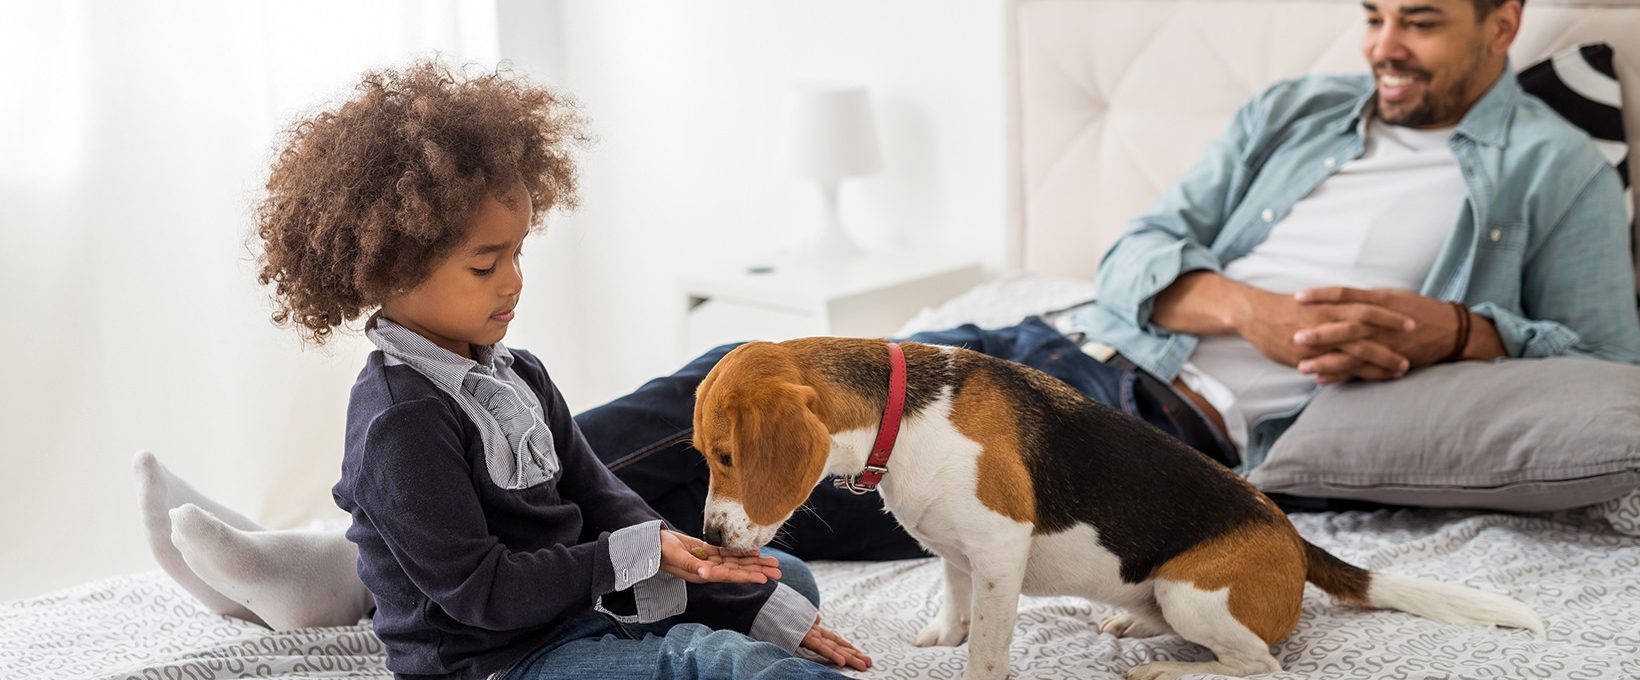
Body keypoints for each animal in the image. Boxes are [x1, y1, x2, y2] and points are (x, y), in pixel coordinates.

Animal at [688, 339, 1535, 680]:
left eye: (726, 457)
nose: (710, 535)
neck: (907, 411)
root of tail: (1293, 539)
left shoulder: (999, 550)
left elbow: (987, 645)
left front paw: (970, 661)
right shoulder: (959, 552)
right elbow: (955, 601)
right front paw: (940, 635)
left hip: (1193, 592)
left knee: (1260, 667)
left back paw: (1165, 669)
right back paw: (1130, 627)